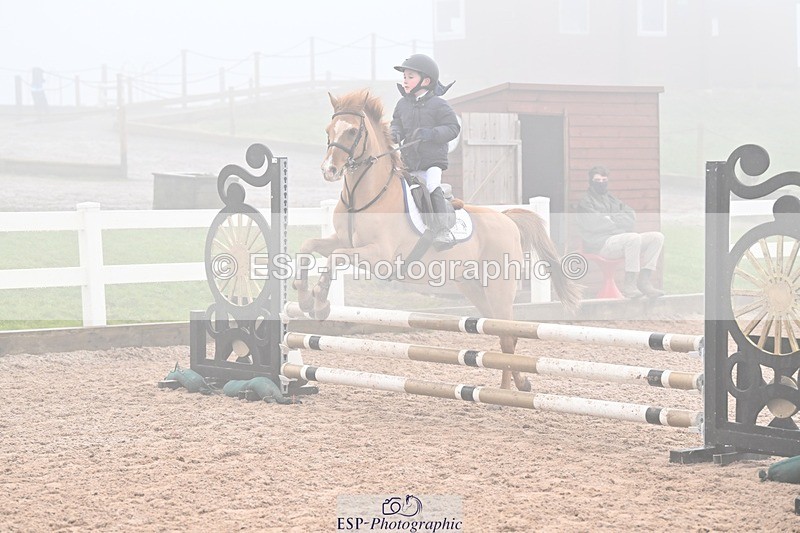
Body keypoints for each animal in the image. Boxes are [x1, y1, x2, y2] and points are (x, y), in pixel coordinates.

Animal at [293, 89, 581, 390]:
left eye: (351, 131)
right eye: (328, 130)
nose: (329, 170)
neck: (362, 197)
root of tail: (507, 220)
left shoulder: (378, 256)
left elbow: (334, 260)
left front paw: (320, 303)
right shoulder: (341, 240)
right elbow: (308, 247)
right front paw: (304, 298)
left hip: (499, 288)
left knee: (506, 336)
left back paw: (506, 392)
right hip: (474, 288)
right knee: (506, 335)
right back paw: (521, 384)